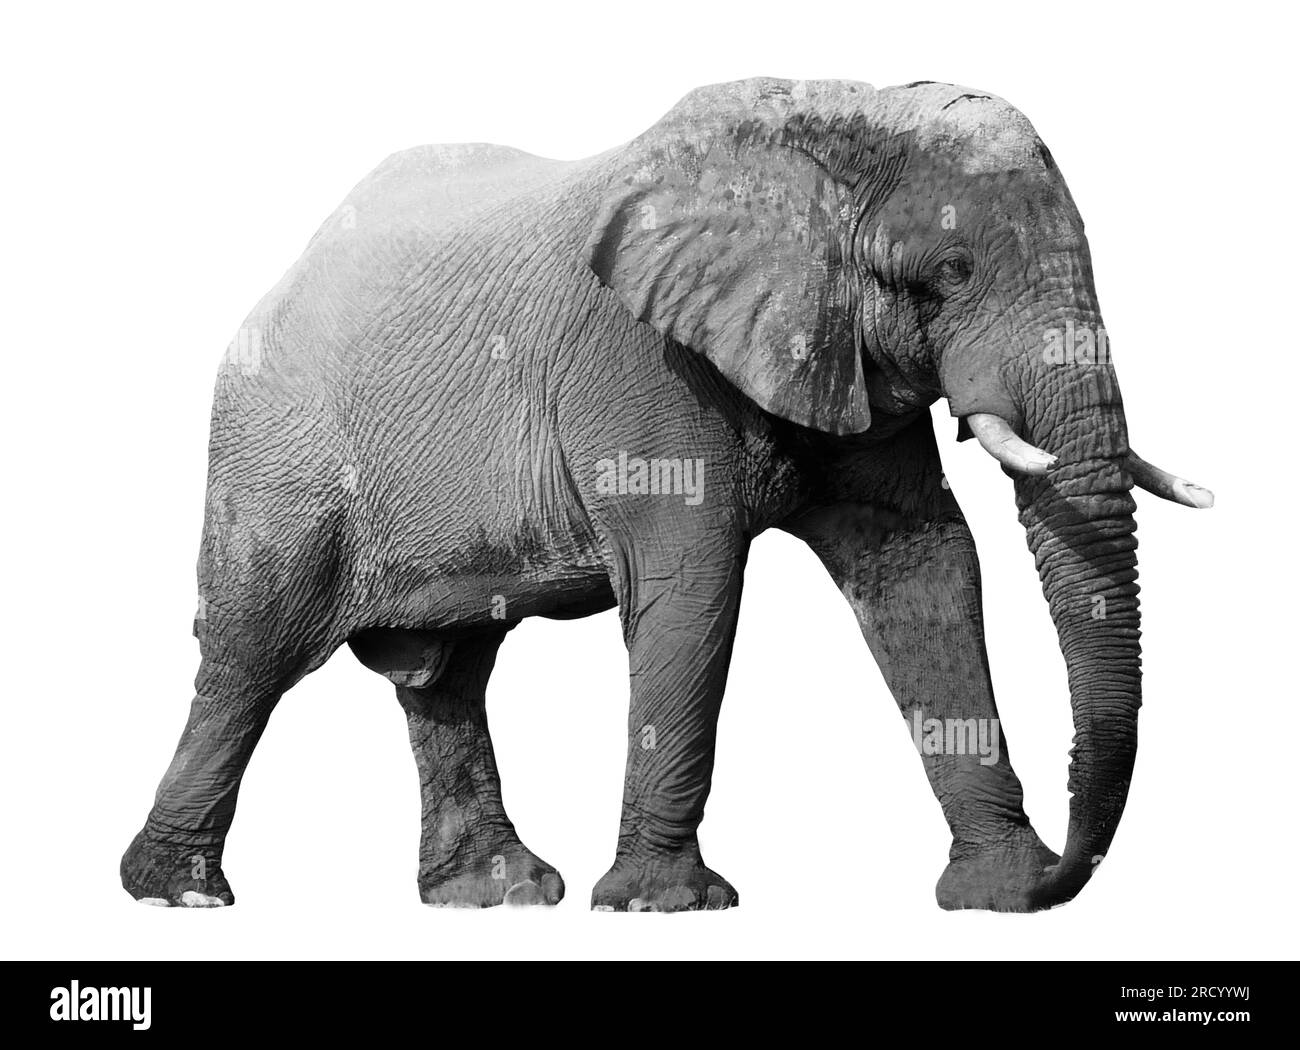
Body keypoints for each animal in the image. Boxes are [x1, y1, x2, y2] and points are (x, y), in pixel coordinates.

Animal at [121, 77, 1212, 913]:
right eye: (949, 271)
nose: (1066, 877)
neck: (838, 120)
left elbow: (925, 567)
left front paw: (997, 899)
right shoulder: (640, 359)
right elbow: (691, 580)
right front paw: (664, 907)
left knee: (448, 673)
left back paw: (496, 896)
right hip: (275, 459)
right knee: (251, 659)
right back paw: (181, 895)